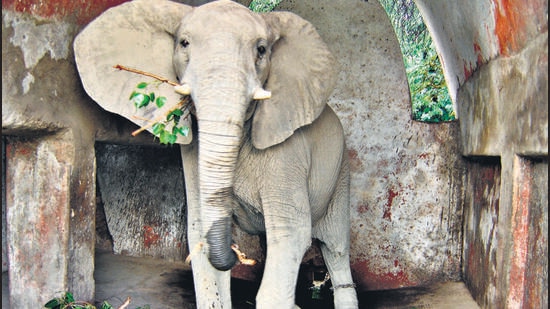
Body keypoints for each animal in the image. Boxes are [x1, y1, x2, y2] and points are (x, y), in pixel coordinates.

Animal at [73, 0, 360, 306]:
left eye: (261, 49)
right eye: (184, 43)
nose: (236, 255)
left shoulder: (288, 154)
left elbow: (291, 233)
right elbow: (200, 232)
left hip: (341, 173)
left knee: (335, 247)